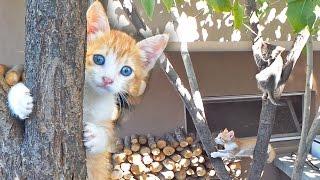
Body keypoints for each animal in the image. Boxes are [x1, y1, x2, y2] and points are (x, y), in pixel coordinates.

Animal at [7, 1, 169, 179]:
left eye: (126, 71)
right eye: (99, 59)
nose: (107, 79)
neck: (90, 96)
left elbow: (107, 139)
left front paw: (96, 136)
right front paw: (20, 99)